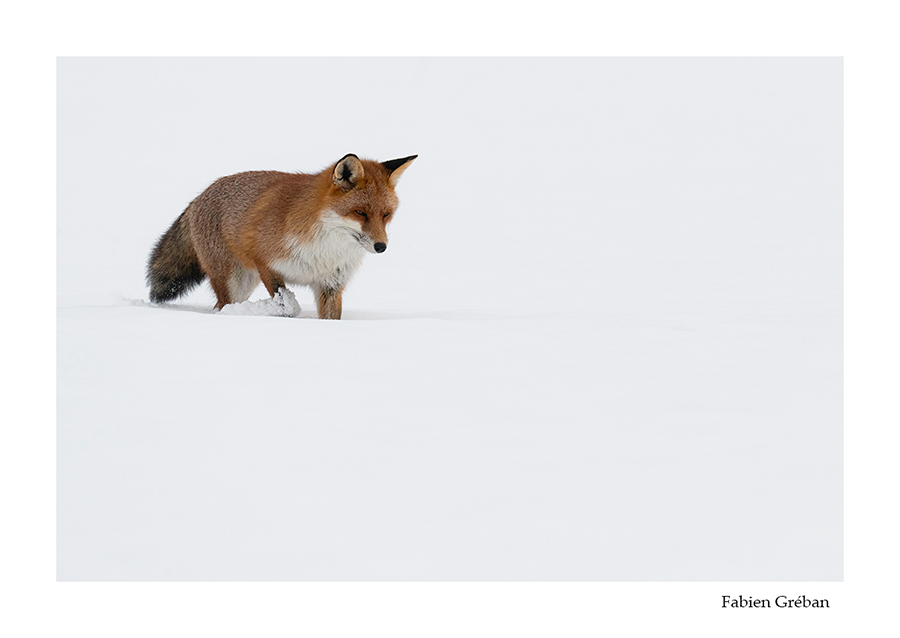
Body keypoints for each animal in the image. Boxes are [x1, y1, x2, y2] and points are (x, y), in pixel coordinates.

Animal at [147, 153, 416, 319]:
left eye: (386, 215)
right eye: (360, 212)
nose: (381, 246)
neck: (325, 249)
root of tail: (198, 196)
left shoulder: (330, 284)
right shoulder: (267, 264)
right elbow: (289, 305)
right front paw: (274, 312)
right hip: (233, 280)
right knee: (225, 307)